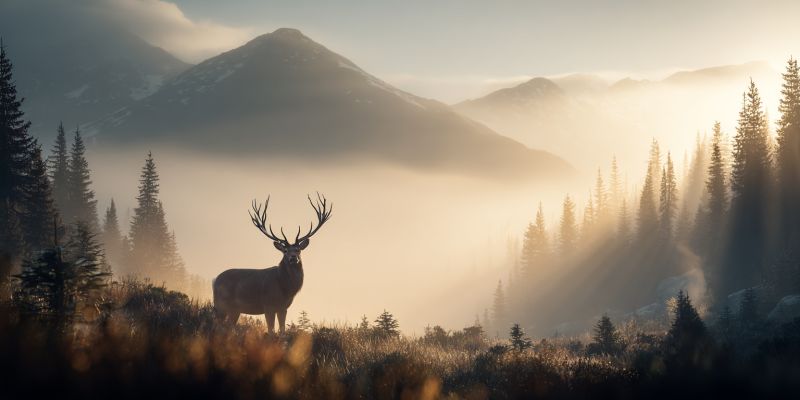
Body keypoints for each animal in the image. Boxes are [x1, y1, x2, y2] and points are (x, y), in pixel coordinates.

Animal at [213, 193, 332, 334]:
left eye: (298, 249)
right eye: (285, 251)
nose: (293, 258)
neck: (285, 288)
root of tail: (214, 280)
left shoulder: (283, 307)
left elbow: (282, 331)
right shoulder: (268, 304)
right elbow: (271, 330)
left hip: (234, 309)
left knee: (228, 326)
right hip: (221, 304)